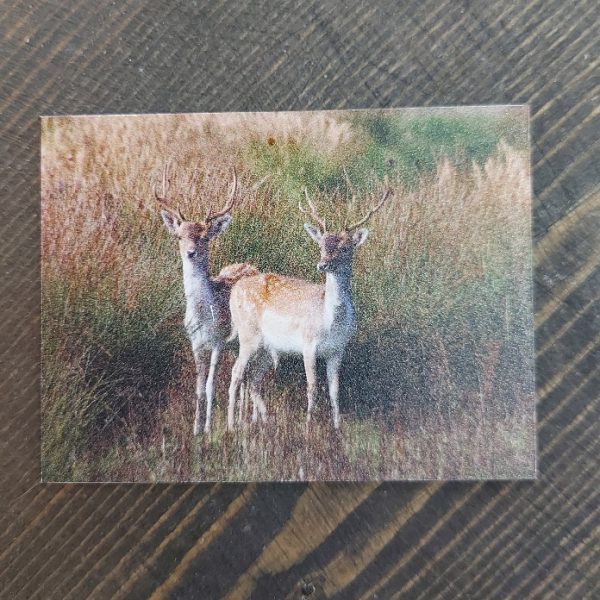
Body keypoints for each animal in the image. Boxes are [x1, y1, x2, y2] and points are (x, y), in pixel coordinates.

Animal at [157, 166, 262, 434]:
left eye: (205, 237)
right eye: (179, 236)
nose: (190, 252)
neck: (204, 317)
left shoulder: (217, 341)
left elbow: (211, 386)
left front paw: (207, 430)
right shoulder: (196, 343)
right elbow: (198, 389)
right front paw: (195, 429)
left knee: (249, 374)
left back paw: (247, 420)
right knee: (244, 376)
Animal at [227, 185, 392, 428]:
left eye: (345, 248)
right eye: (321, 245)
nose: (323, 264)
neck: (330, 321)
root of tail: (235, 290)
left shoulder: (338, 349)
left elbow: (334, 391)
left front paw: (337, 427)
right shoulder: (308, 344)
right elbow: (312, 387)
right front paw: (308, 426)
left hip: (267, 347)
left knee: (253, 379)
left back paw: (264, 422)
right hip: (248, 335)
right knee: (236, 372)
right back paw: (229, 425)